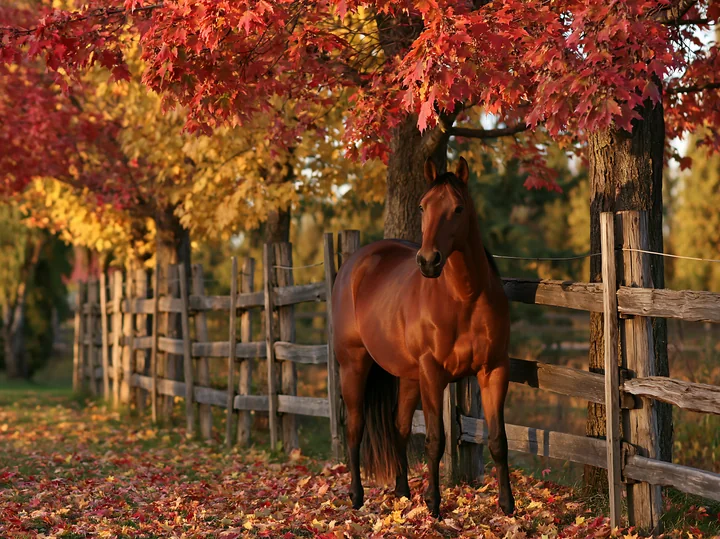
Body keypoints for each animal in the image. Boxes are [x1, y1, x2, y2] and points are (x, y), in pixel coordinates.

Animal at [331, 157, 514, 518]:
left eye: (458, 208)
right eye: (422, 206)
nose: (428, 261)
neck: (464, 297)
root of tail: (354, 265)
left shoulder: (494, 370)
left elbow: (498, 439)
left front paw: (507, 505)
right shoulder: (433, 374)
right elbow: (435, 440)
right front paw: (433, 503)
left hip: (408, 376)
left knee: (399, 428)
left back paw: (402, 491)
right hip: (353, 365)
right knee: (355, 428)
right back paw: (356, 496)